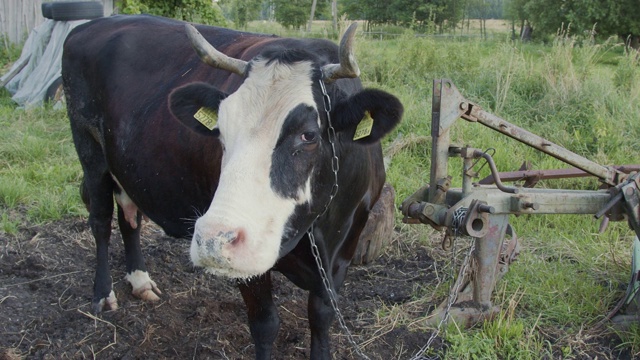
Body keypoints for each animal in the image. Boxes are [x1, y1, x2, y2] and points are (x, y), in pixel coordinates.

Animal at [62, 14, 402, 360]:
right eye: (220, 130)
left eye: (308, 134)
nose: (213, 240)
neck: (320, 232)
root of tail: (93, 24)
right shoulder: (249, 268)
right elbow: (265, 324)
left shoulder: (344, 249)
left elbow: (321, 316)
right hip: (90, 151)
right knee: (101, 221)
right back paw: (103, 294)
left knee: (129, 216)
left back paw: (140, 280)